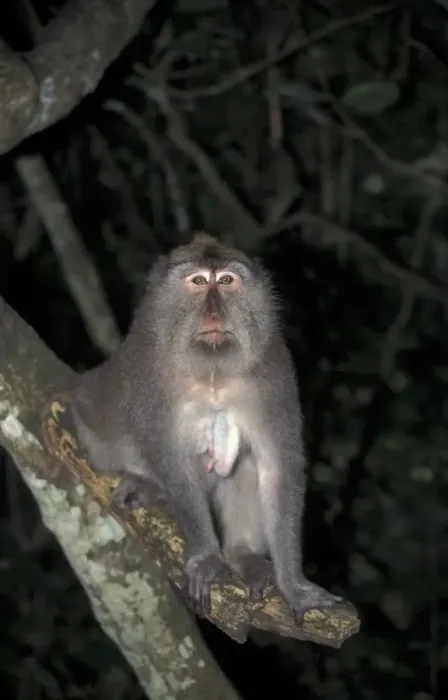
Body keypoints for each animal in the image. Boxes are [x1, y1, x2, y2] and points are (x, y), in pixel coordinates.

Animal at [70, 233, 343, 620]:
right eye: (199, 281)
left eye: (226, 281)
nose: (214, 312)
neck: (213, 371)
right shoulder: (150, 372)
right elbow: (172, 462)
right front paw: (207, 557)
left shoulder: (272, 369)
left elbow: (276, 466)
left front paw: (292, 583)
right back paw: (146, 484)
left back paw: (241, 554)